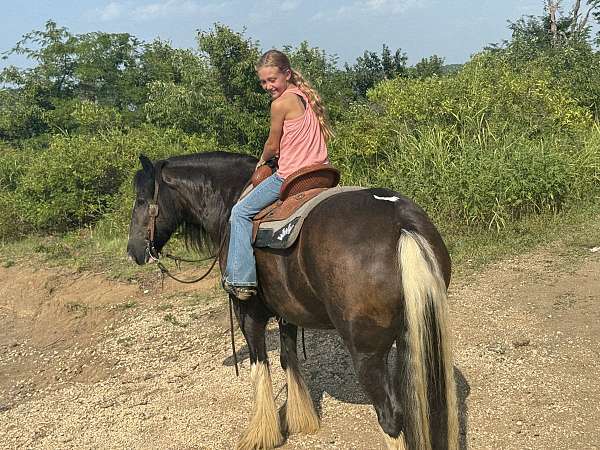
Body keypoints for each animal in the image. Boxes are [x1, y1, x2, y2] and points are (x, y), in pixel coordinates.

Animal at [125, 152, 454, 450]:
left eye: (140, 200)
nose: (133, 251)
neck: (231, 201)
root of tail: (402, 225)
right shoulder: (288, 312)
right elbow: (287, 358)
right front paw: (301, 419)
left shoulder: (248, 312)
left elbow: (261, 364)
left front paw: (262, 434)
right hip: (412, 336)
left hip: (366, 352)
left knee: (390, 416)